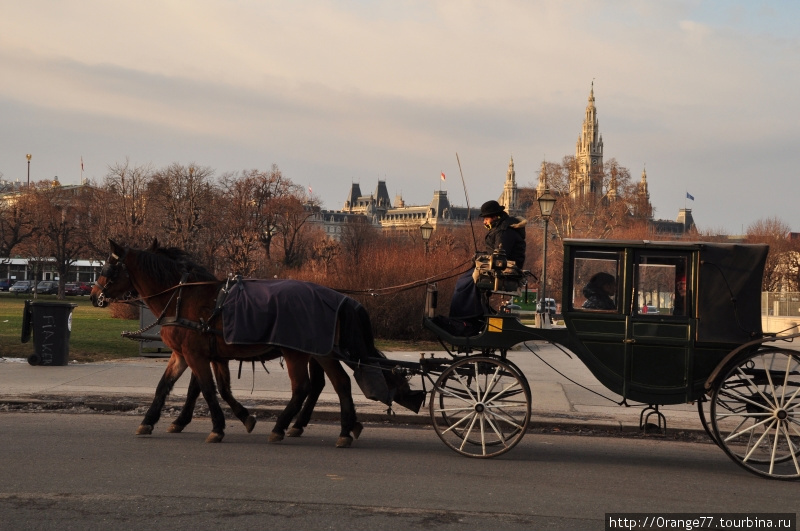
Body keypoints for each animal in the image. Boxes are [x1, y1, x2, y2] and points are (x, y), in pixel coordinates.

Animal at [90, 240, 422, 444]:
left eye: (108, 268)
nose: (94, 296)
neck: (184, 296)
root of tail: (337, 297)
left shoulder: (196, 355)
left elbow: (206, 390)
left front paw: (217, 426)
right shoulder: (192, 355)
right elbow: (174, 387)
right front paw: (153, 420)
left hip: (302, 353)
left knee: (309, 387)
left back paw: (287, 426)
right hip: (318, 352)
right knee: (334, 384)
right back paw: (341, 426)